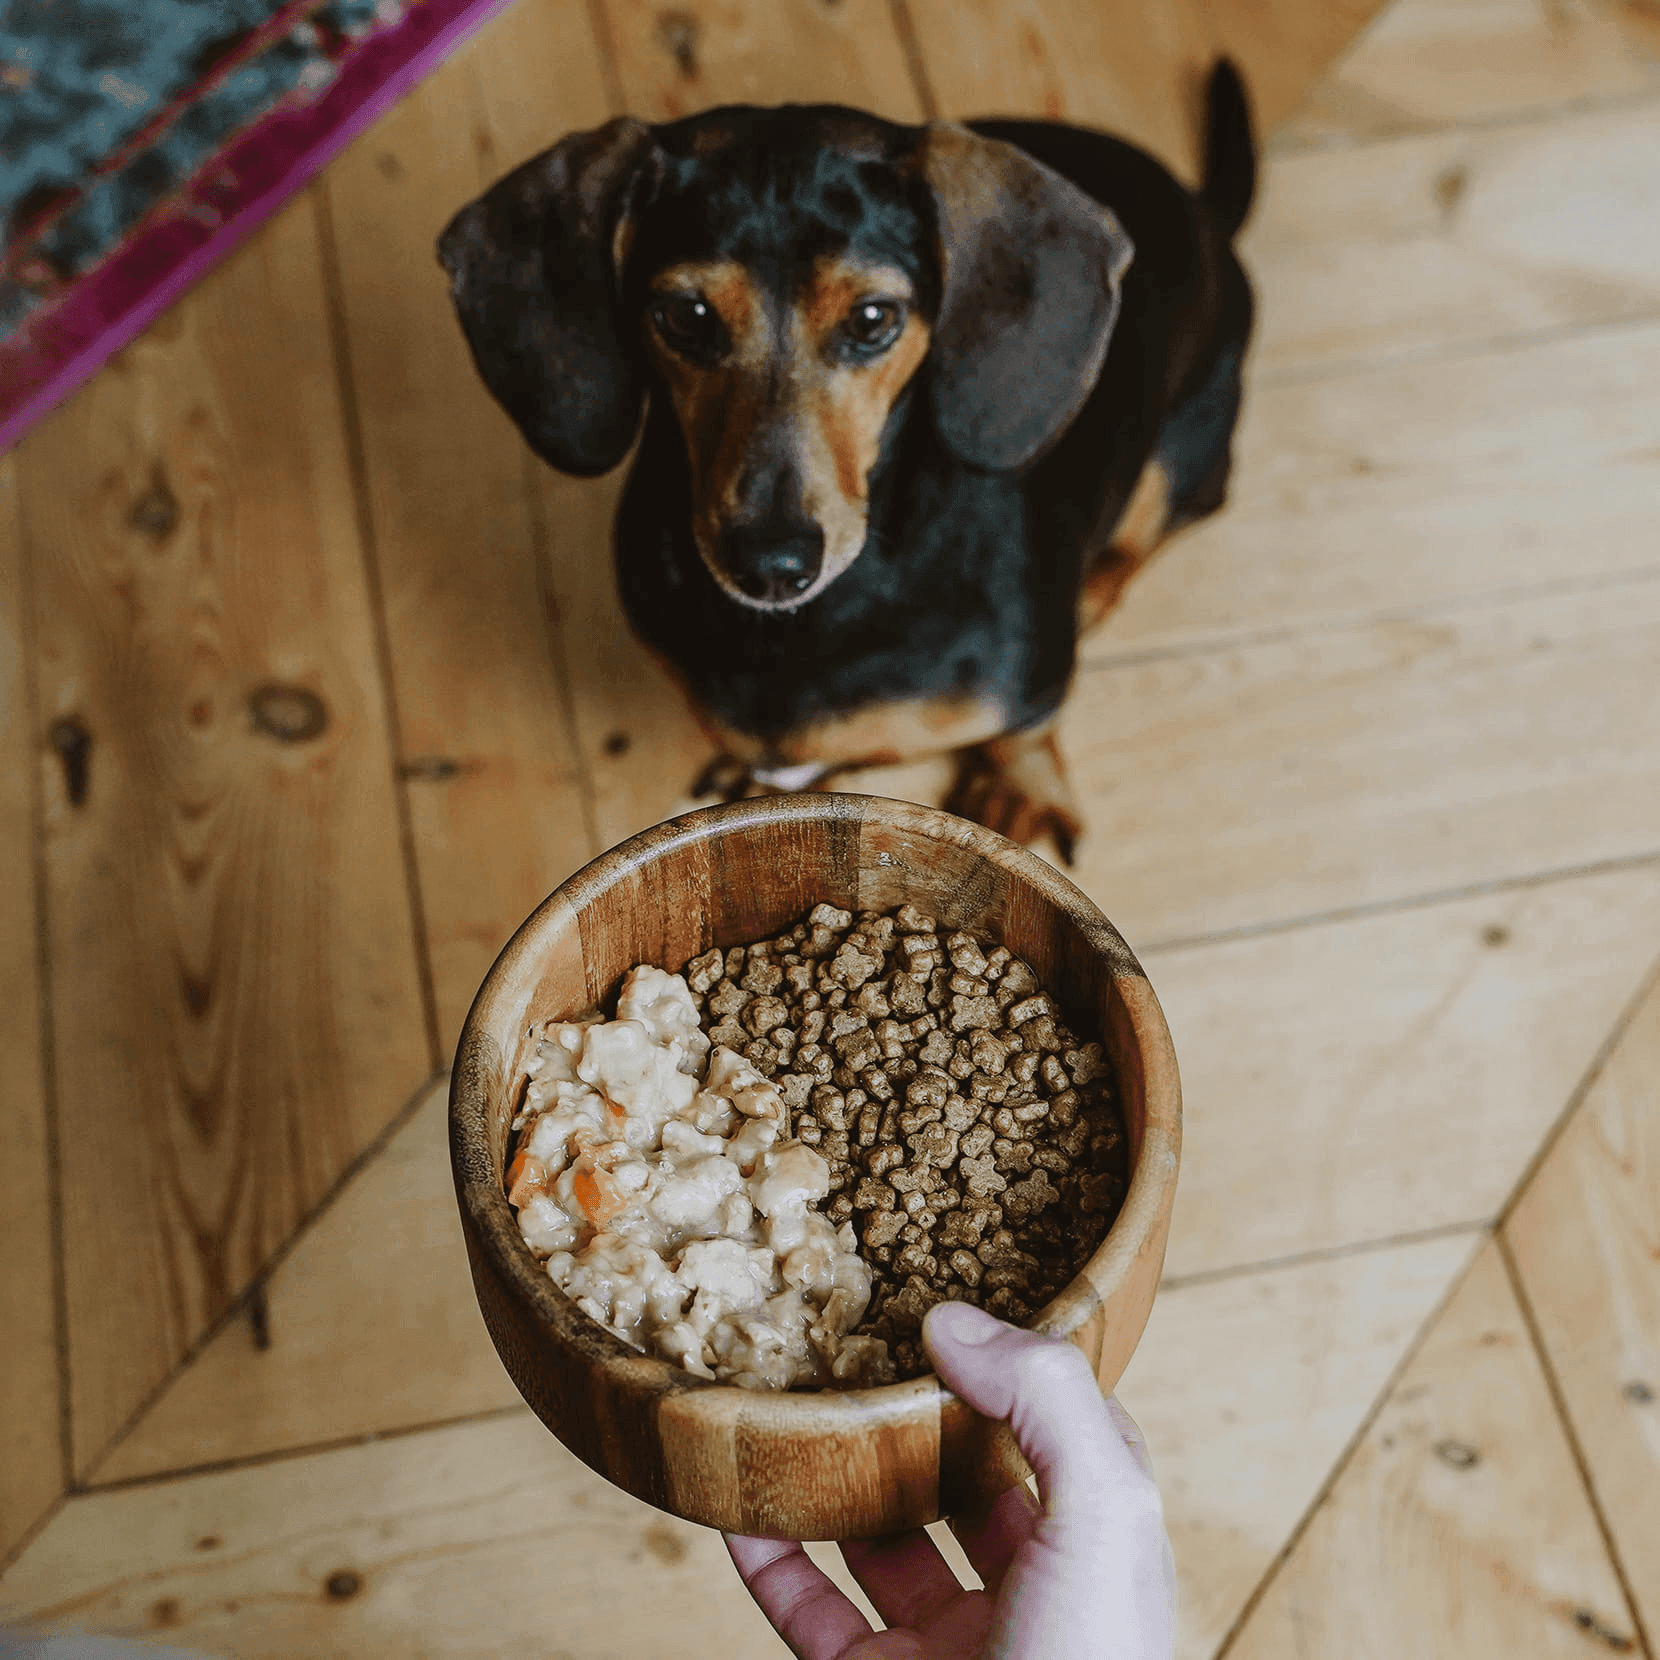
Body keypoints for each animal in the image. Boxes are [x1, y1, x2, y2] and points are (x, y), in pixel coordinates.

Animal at [434, 58, 1248, 863]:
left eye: (872, 318)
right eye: (685, 316)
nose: (770, 564)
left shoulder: (1031, 692)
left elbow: (1024, 732)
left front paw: (1018, 786)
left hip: (1184, 456)